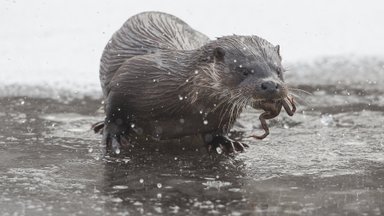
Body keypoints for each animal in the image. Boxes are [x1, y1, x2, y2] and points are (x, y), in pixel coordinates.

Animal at [91, 11, 296, 154]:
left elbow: (217, 130)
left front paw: (225, 143)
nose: (271, 85)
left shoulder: (221, 115)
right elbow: (114, 113)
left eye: (278, 70)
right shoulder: (127, 79)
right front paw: (113, 137)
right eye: (244, 70)